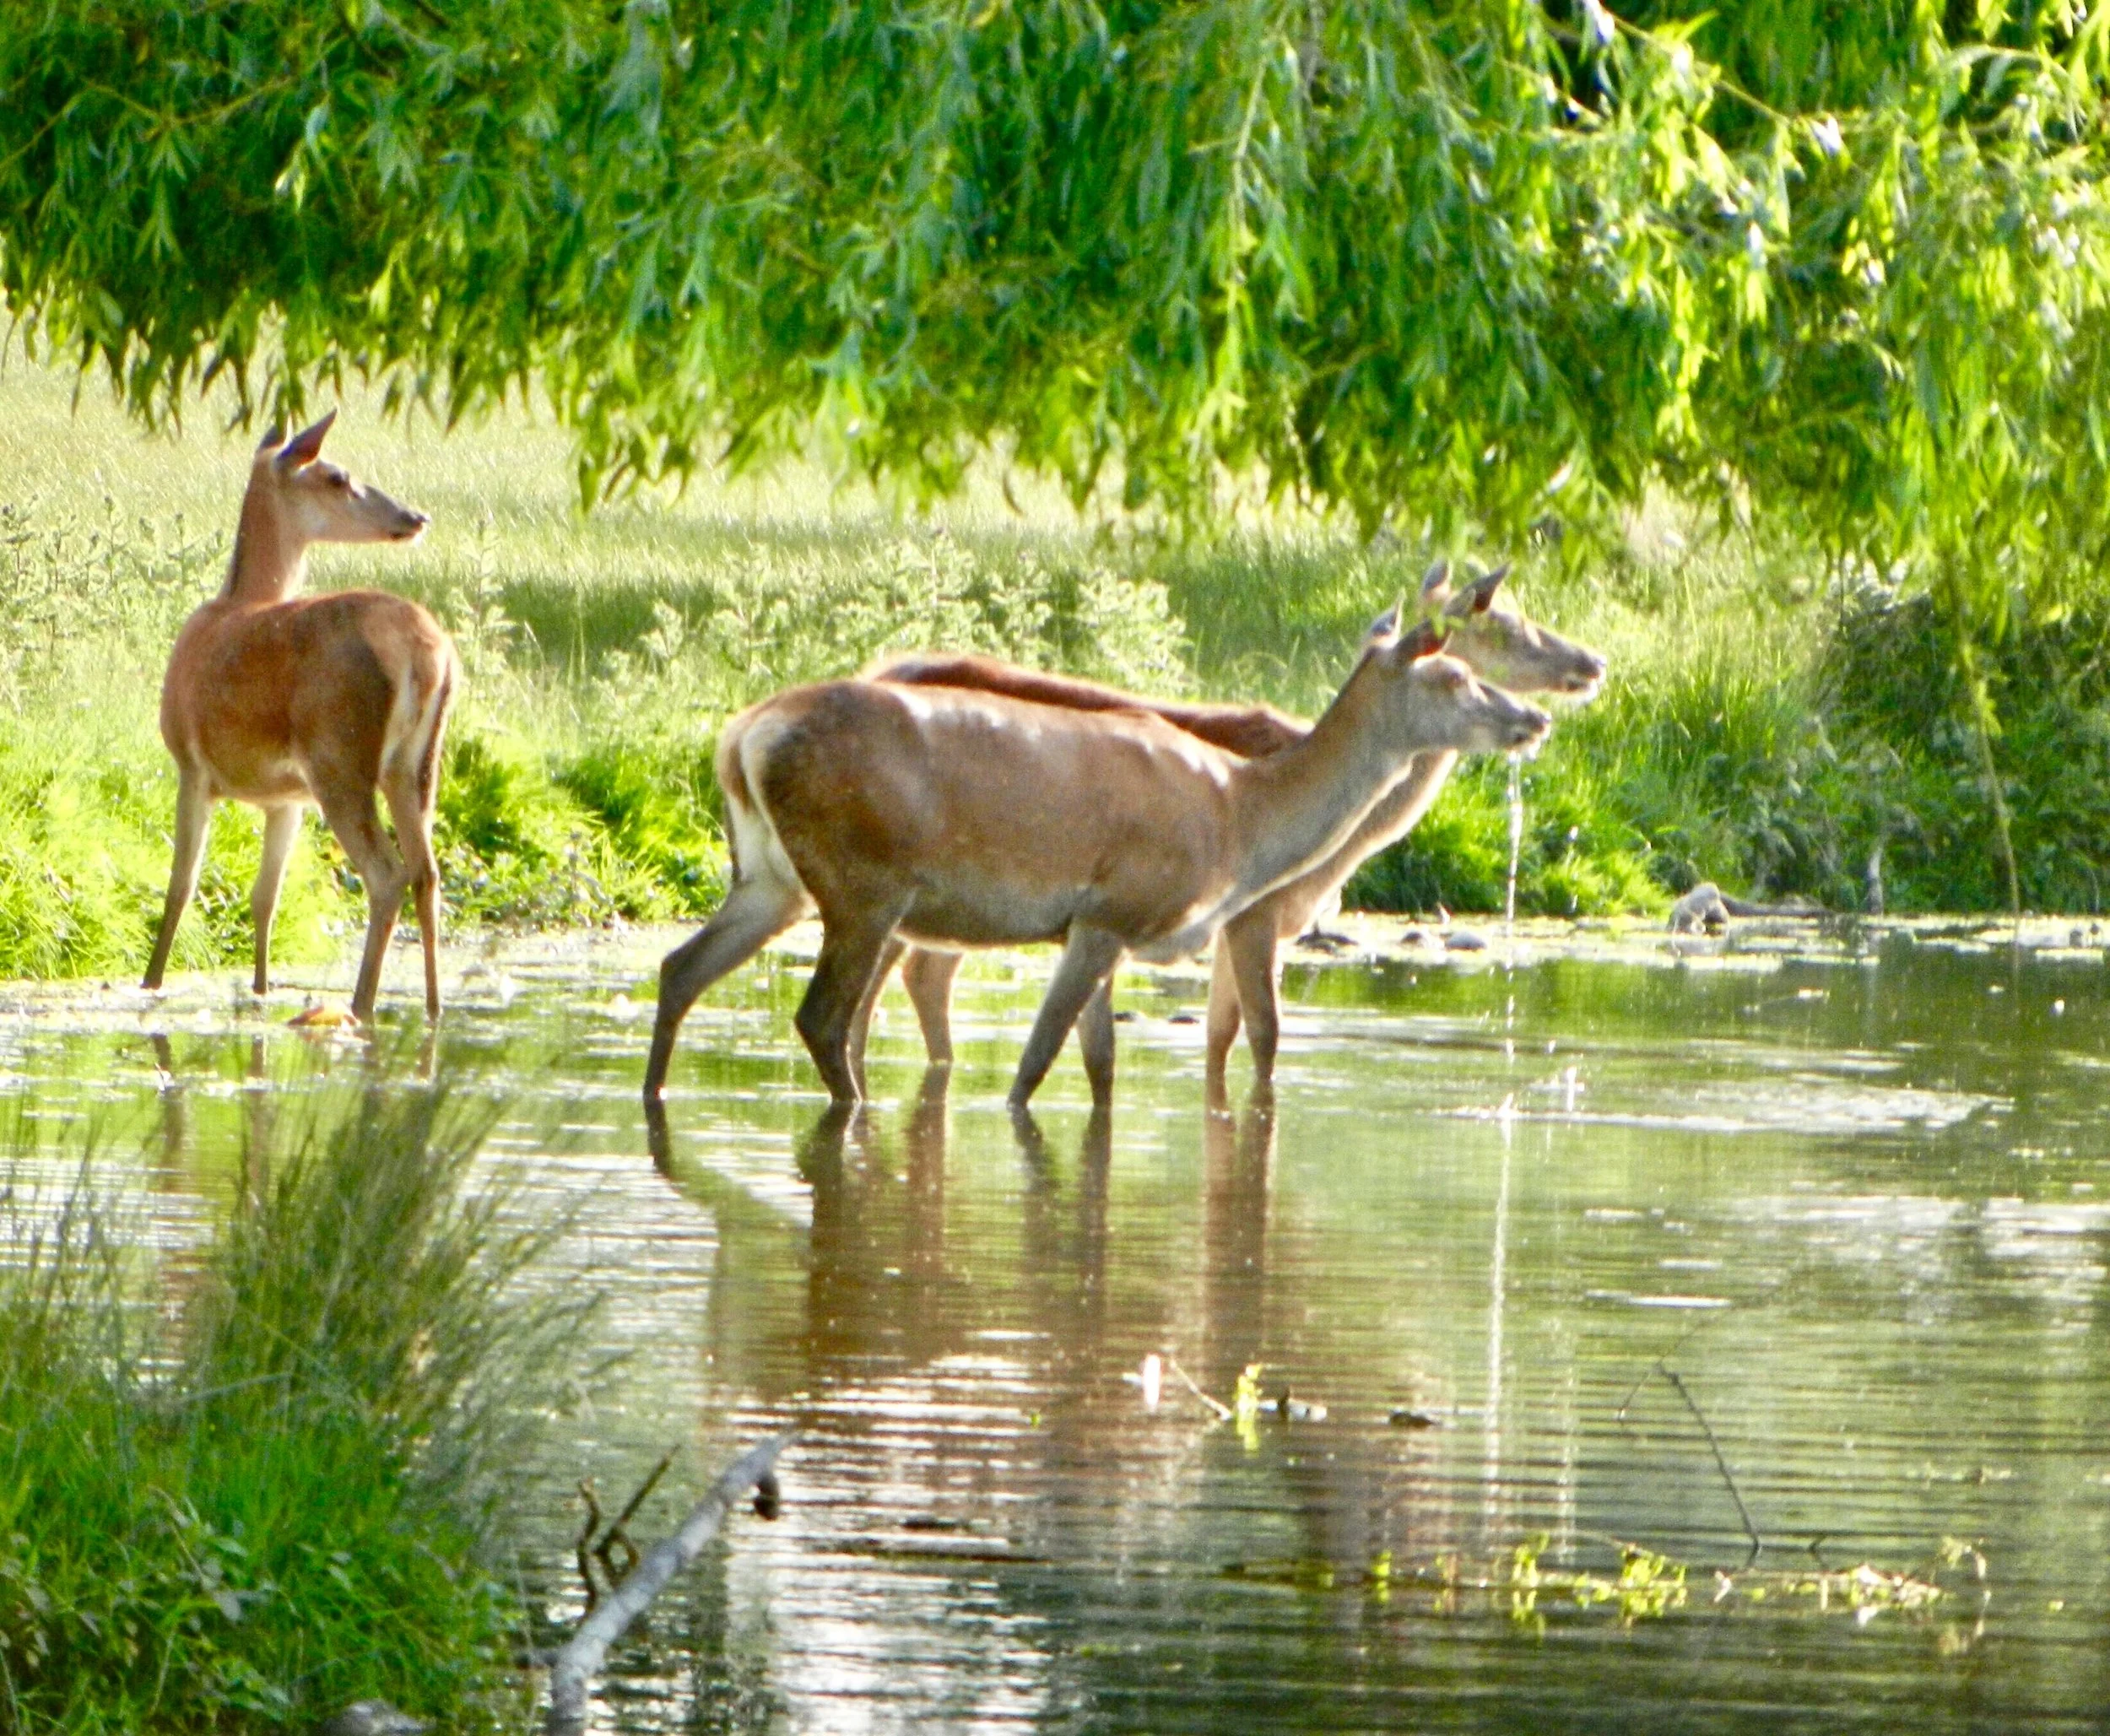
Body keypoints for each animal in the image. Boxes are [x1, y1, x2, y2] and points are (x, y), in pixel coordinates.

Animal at [141, 411, 458, 1026]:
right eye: (338, 476)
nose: (415, 517)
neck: (236, 602)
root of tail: (426, 654)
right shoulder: (287, 797)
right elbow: (265, 897)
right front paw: (260, 989)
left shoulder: (190, 762)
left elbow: (180, 886)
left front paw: (150, 985)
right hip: (416, 764)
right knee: (426, 871)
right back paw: (432, 1008)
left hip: (340, 753)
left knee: (387, 873)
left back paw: (359, 1006)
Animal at [642, 613, 1551, 1113]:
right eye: (1458, 676)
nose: (1534, 719)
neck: (1239, 815)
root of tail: (743, 736)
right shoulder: (1117, 907)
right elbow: (1037, 1059)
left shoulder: (1097, 924)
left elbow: (1099, 1064)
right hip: (863, 882)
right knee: (825, 1016)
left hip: (771, 877)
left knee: (679, 966)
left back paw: (655, 1092)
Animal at [852, 564, 1605, 1098]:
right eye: (1505, 621)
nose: (1592, 663)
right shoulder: (1255, 913)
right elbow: (1264, 1034)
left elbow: (1219, 1037)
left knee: (917, 974)